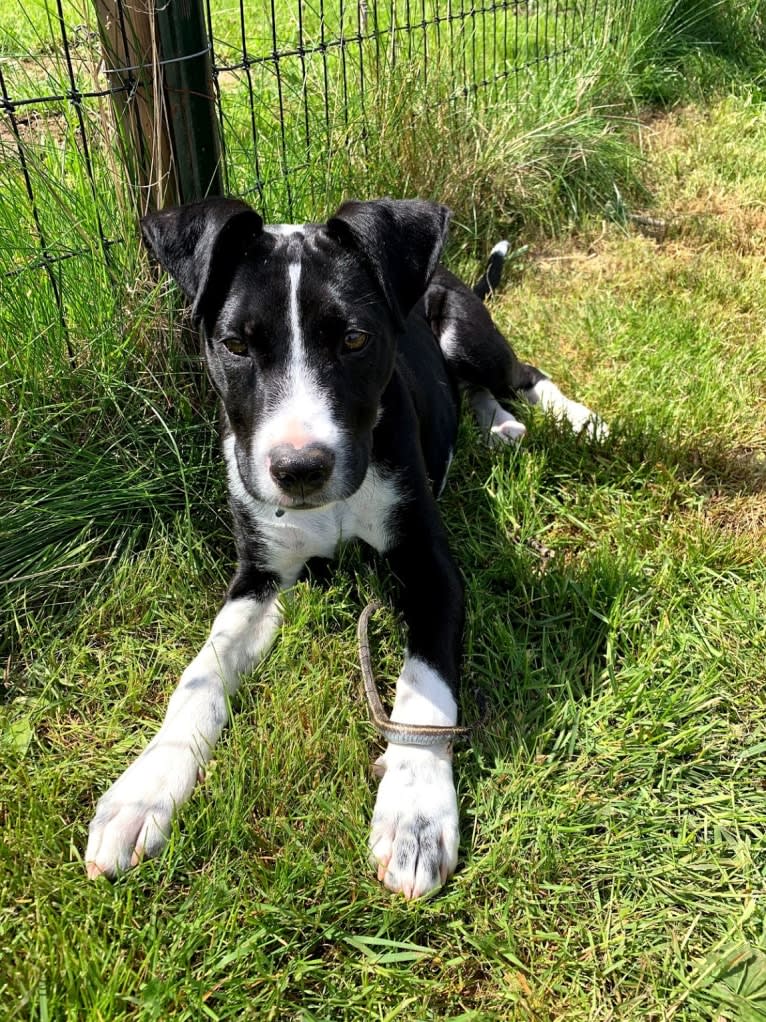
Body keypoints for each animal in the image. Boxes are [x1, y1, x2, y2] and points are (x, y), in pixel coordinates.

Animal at [86, 195, 604, 899]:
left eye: (355, 340)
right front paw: (143, 792)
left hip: (469, 334)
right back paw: (496, 423)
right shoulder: (260, 577)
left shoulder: (430, 569)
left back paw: (572, 417)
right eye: (235, 345)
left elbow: (424, 686)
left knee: (521, 373)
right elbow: (200, 676)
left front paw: (415, 813)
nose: (299, 468)